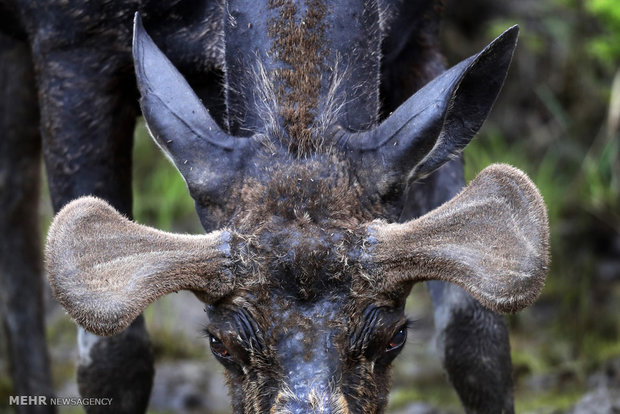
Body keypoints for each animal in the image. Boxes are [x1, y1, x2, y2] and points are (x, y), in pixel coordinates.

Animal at [3, 0, 548, 414]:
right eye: (220, 343)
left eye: (394, 337)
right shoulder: (70, 44)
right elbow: (114, 359)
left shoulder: (419, 37)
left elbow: (475, 340)